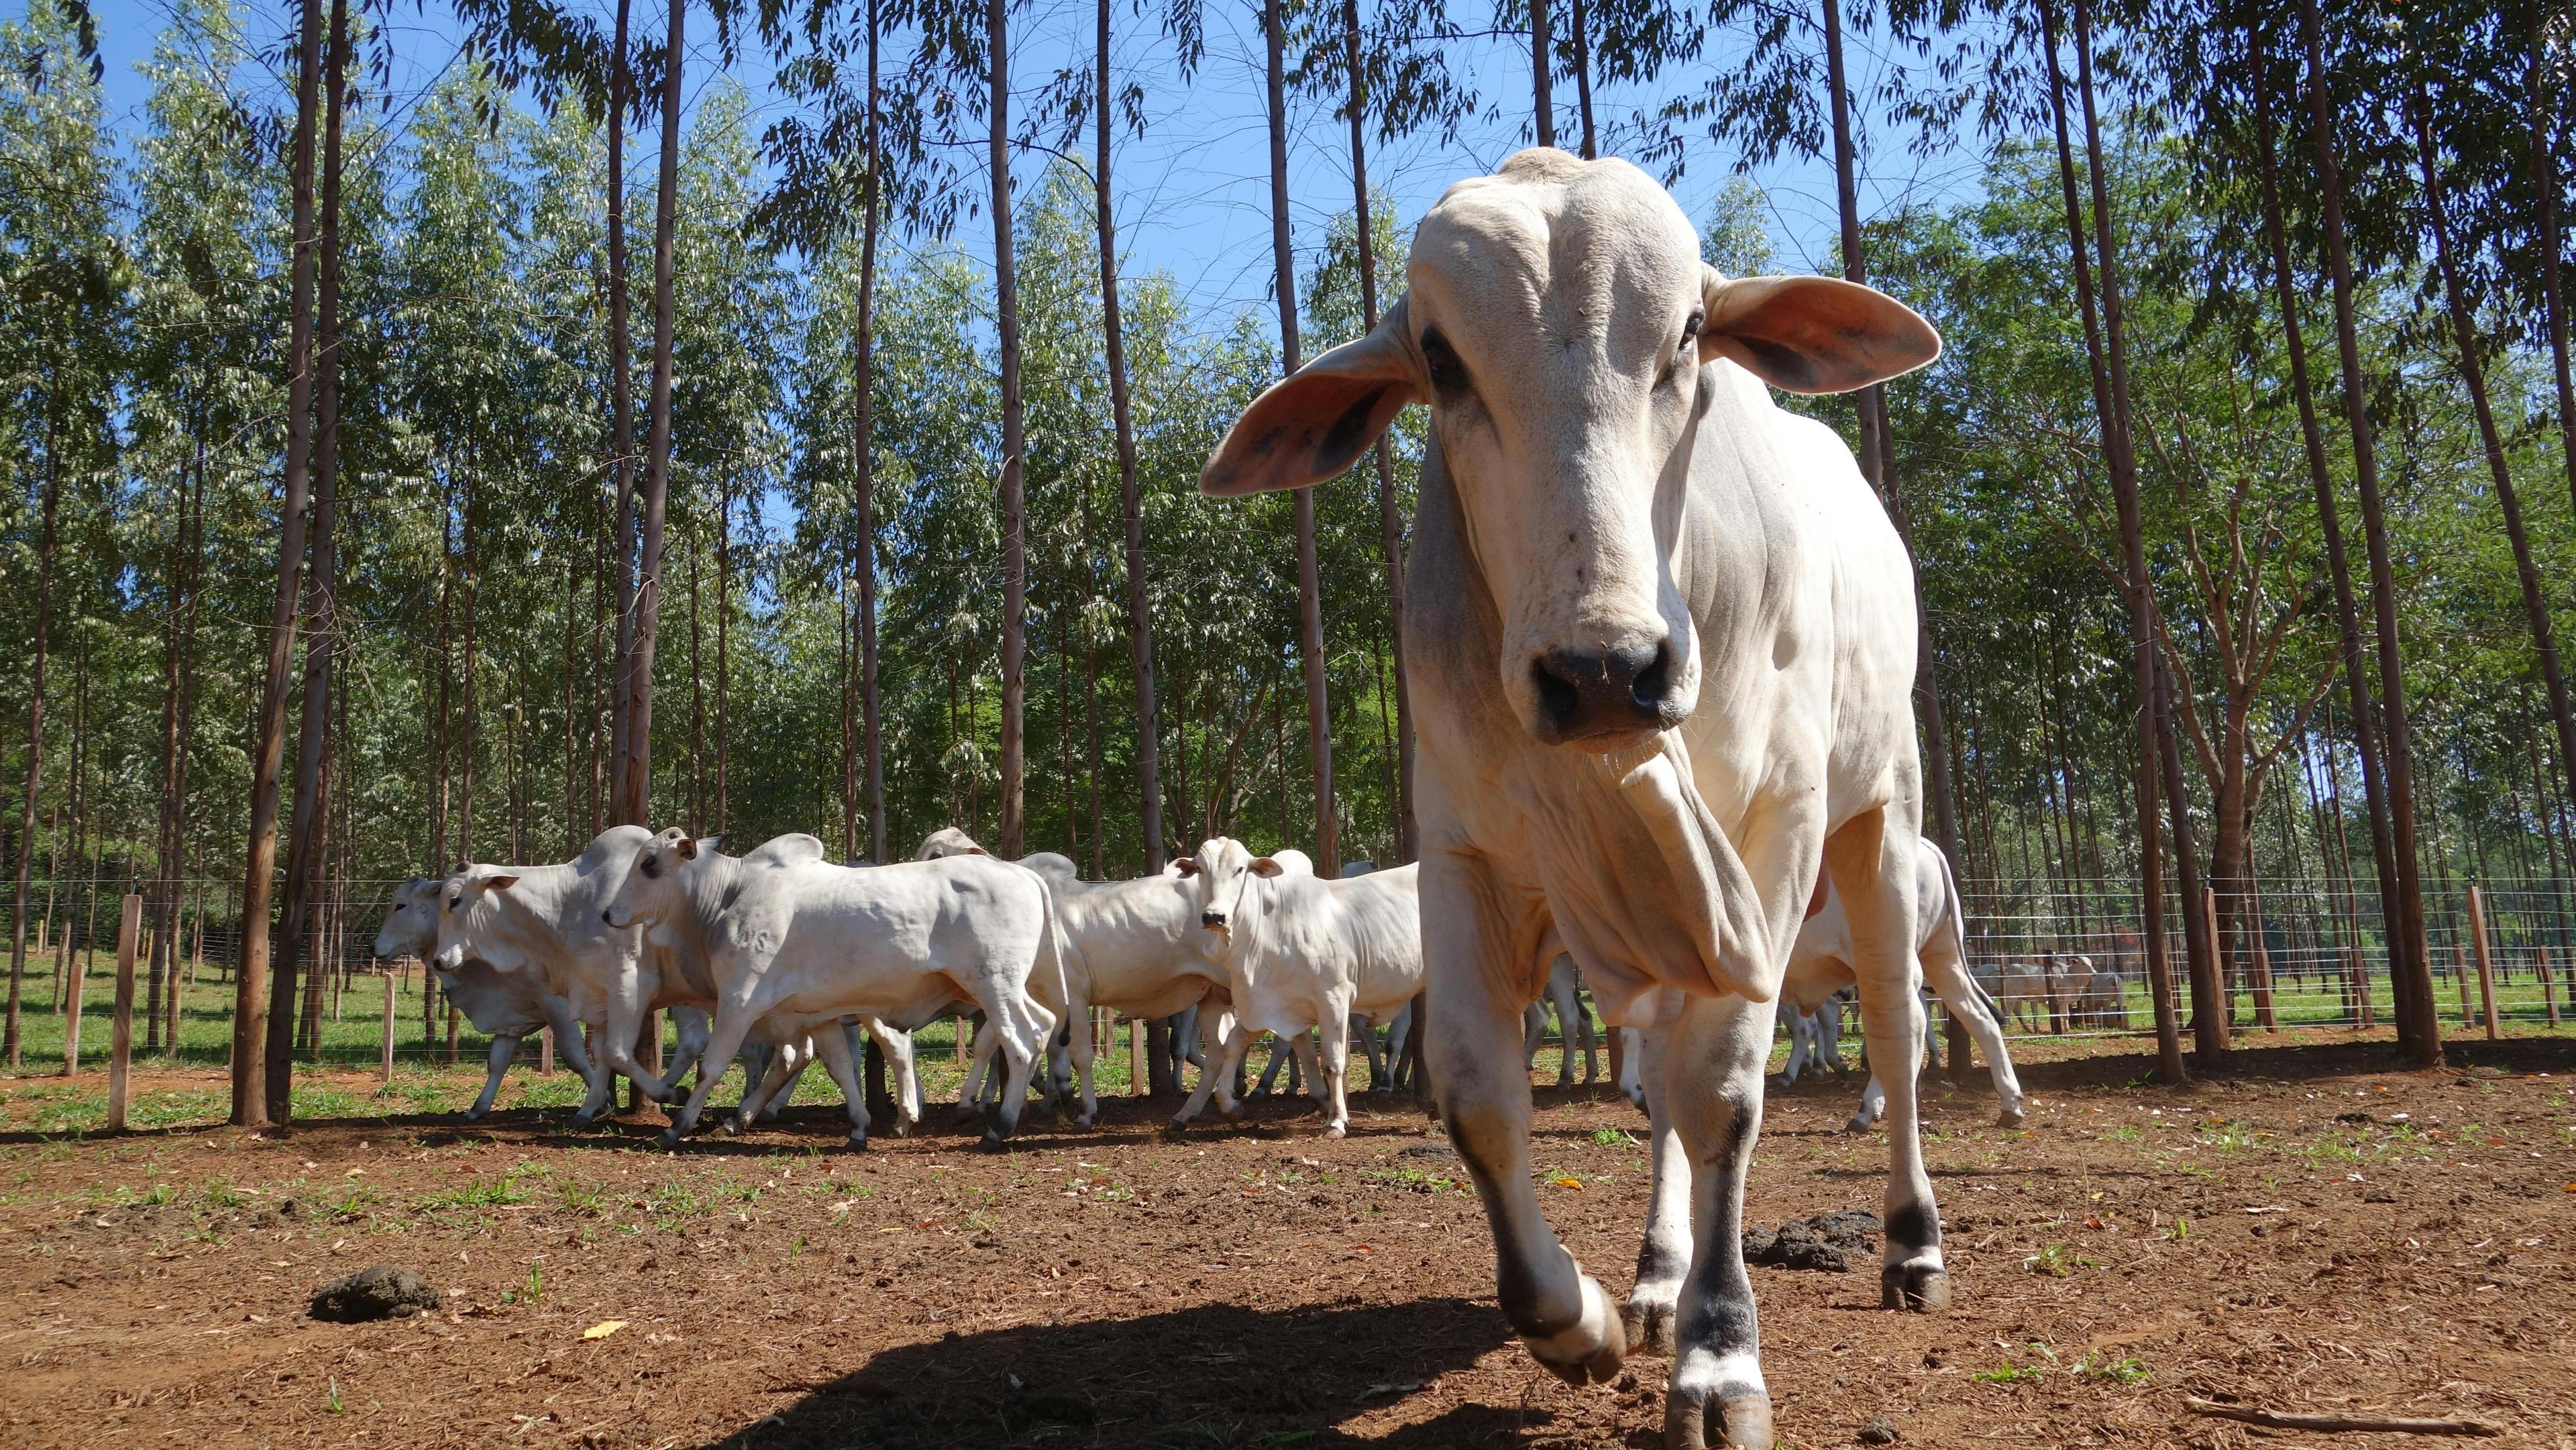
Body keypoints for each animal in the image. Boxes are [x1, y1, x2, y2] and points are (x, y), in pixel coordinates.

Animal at [1195, 144, 1937, 1442]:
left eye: (1689, 331)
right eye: (1441, 360)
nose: (1602, 670)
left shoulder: (1771, 836)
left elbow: (1728, 1089)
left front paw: (1720, 1357)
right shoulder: (1466, 851)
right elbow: (1479, 1092)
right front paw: (1579, 1318)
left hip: (1881, 818)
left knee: (1893, 1032)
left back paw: (1907, 1245)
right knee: (1660, 1084)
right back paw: (1655, 1275)